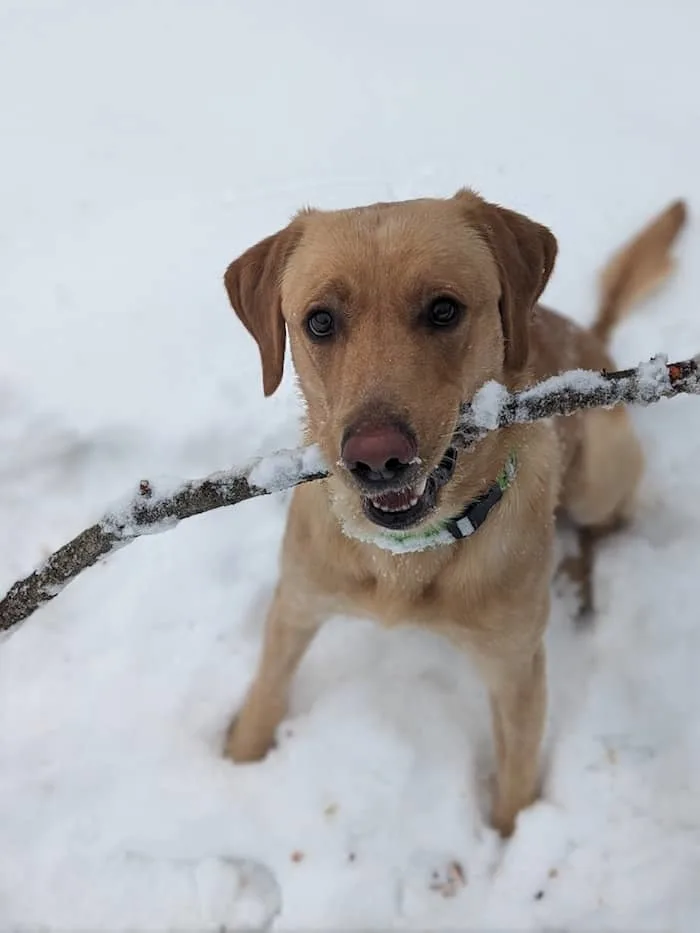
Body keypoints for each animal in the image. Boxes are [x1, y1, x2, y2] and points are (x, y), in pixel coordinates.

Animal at [223, 191, 684, 836]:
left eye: (443, 310)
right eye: (319, 321)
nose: (377, 458)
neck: (405, 557)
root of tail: (595, 346)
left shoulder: (517, 669)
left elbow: (517, 775)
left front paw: (511, 842)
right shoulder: (296, 602)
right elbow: (267, 691)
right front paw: (237, 759)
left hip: (601, 467)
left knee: (605, 525)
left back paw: (578, 576)